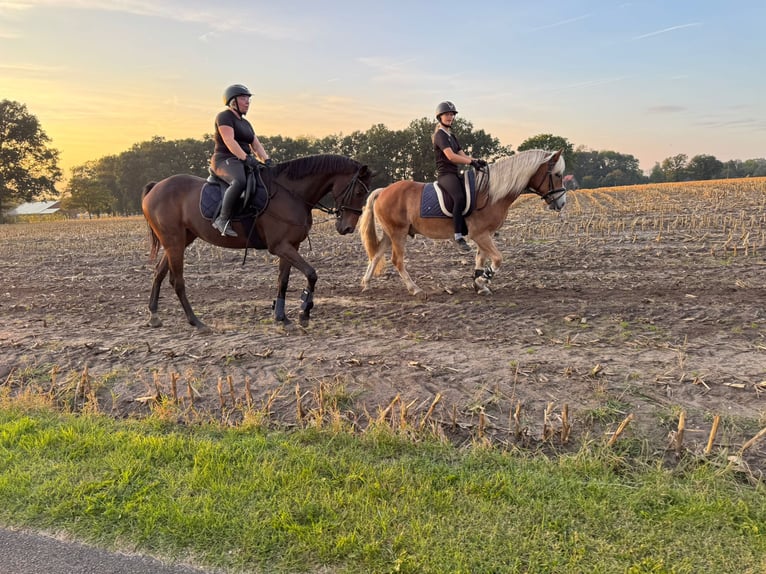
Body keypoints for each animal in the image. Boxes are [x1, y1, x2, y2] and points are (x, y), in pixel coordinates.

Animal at [141, 154, 373, 330]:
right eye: (359, 191)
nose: (347, 228)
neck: (291, 194)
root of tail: (156, 186)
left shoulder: (290, 246)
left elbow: (283, 280)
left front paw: (282, 317)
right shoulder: (280, 246)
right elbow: (311, 274)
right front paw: (304, 312)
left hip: (180, 240)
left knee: (159, 272)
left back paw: (154, 315)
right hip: (174, 241)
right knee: (177, 280)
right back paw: (196, 321)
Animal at [359, 149, 566, 296]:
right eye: (557, 175)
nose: (562, 202)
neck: (491, 193)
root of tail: (383, 190)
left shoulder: (485, 235)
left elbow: (481, 259)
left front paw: (480, 283)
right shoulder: (480, 235)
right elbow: (498, 259)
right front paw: (483, 280)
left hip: (391, 233)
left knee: (376, 254)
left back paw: (366, 283)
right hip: (398, 233)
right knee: (397, 260)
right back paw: (414, 289)